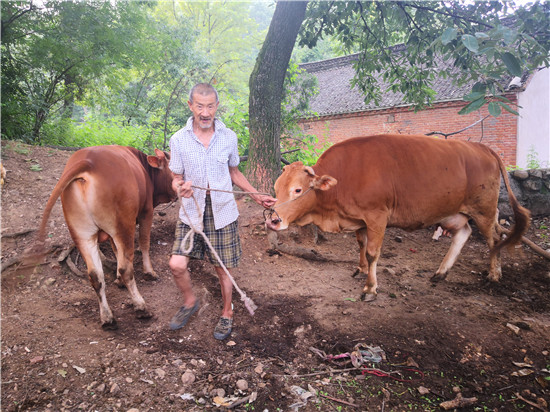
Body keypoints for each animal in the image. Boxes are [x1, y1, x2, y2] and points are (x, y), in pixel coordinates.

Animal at [37, 145, 176, 328]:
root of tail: (87, 160)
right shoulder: (147, 212)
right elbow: (144, 243)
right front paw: (149, 272)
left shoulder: (110, 233)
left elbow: (116, 252)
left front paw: (117, 279)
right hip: (123, 225)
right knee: (126, 268)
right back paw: (140, 306)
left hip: (82, 233)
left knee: (95, 275)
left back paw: (107, 317)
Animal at [268, 134, 536, 300]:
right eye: (276, 187)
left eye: (297, 190)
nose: (273, 220)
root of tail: (483, 148)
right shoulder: (360, 220)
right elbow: (361, 244)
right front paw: (361, 269)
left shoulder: (377, 216)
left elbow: (372, 252)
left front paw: (370, 288)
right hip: (455, 211)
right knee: (464, 233)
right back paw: (441, 272)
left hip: (484, 210)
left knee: (494, 239)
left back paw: (494, 274)